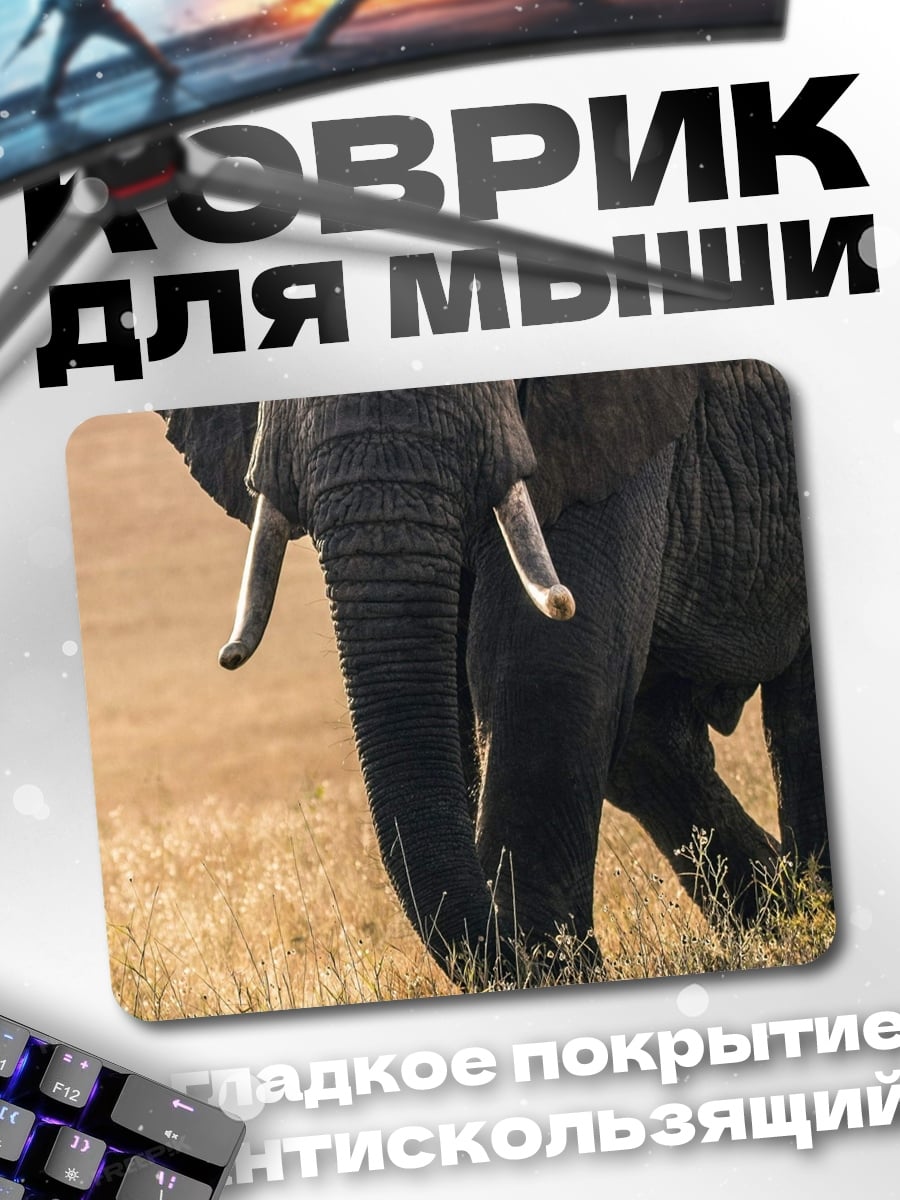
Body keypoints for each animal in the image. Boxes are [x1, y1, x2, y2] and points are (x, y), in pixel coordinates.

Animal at [162, 359, 827, 984]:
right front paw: (556, 965)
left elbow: (546, 661)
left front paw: (555, 969)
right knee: (649, 744)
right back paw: (789, 914)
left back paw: (810, 913)